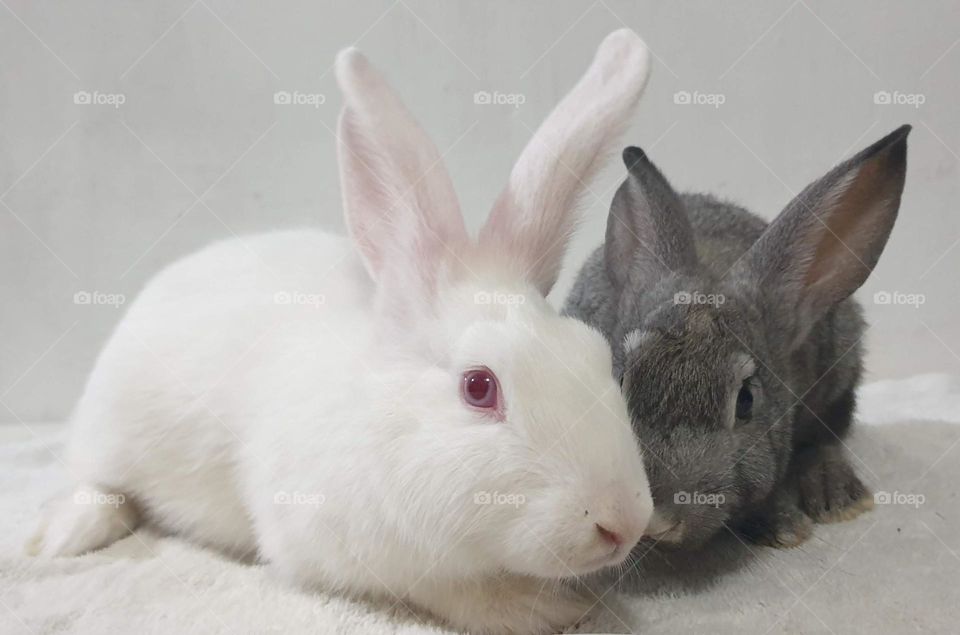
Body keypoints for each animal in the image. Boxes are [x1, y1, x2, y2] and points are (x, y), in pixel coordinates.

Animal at [33, 29, 656, 635]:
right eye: (479, 387)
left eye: (595, 355)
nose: (622, 523)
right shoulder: (333, 546)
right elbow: (450, 590)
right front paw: (541, 609)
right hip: (108, 425)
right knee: (94, 479)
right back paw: (64, 539)